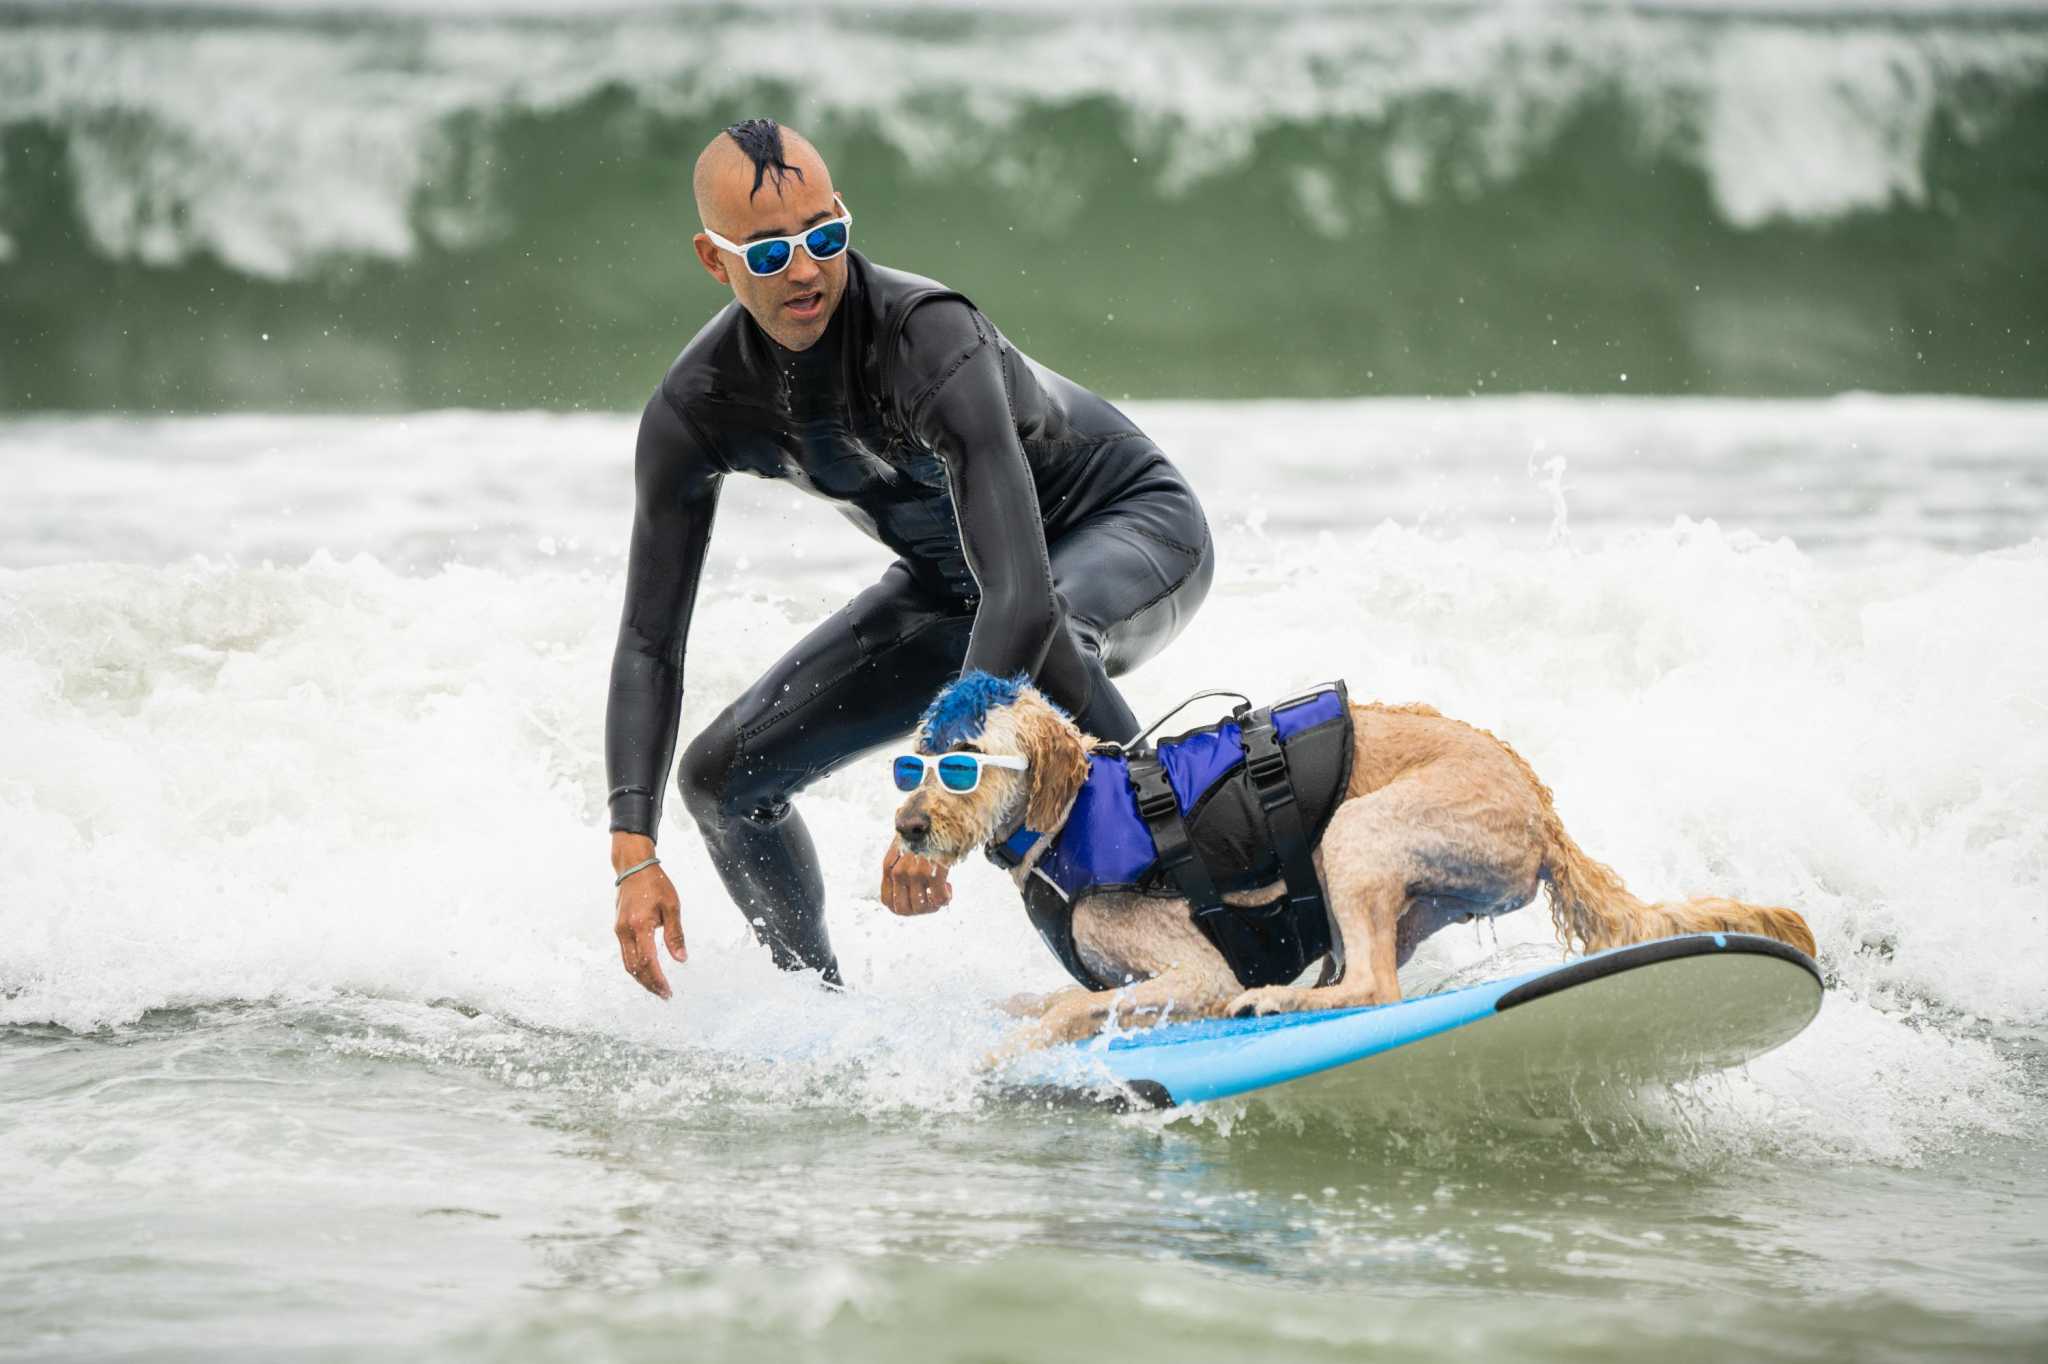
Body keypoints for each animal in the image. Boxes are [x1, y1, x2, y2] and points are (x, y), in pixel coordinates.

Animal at [888, 667, 1818, 1040]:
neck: (1074, 813)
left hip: (1359, 835)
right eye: (916, 761)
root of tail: (1544, 810)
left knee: (1373, 988)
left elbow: (1073, 1011)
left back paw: (1275, 1001)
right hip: (1409, 893)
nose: (909, 829)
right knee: (1370, 978)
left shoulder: (1196, 971)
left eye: (965, 763)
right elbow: (1051, 999)